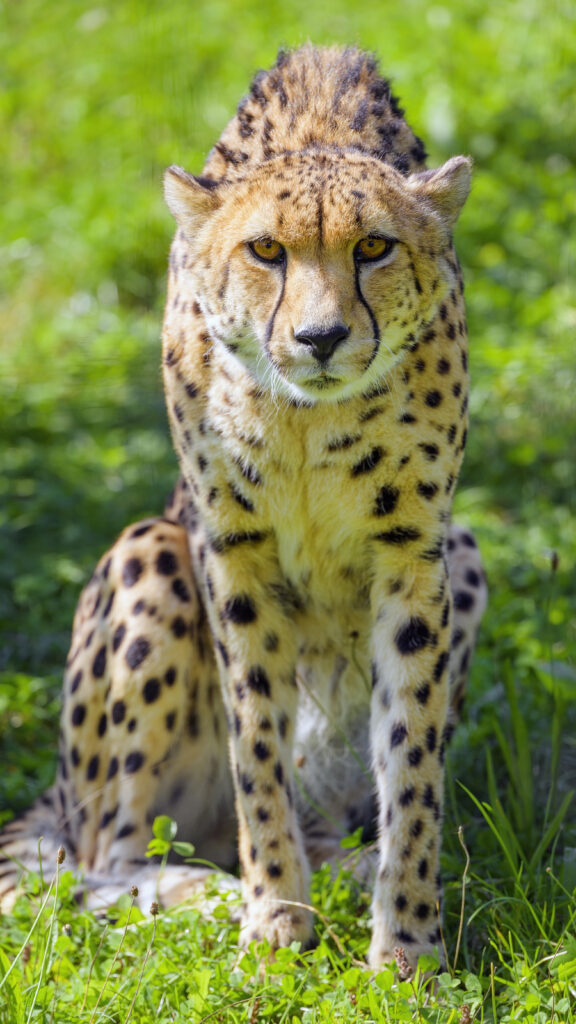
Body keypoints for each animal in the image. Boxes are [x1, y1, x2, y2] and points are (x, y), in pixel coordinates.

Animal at [0, 45, 487, 972]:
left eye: (374, 247)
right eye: (266, 250)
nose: (321, 339)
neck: (309, 417)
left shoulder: (415, 556)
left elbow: (411, 759)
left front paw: (408, 943)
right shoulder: (233, 552)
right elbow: (256, 740)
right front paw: (273, 918)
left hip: (468, 556)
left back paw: (344, 864)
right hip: (150, 551)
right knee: (102, 862)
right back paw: (210, 891)